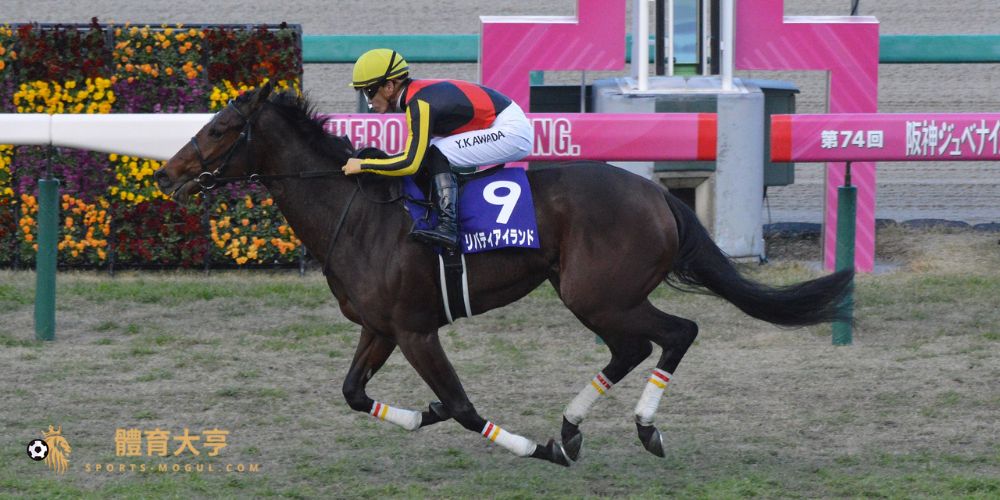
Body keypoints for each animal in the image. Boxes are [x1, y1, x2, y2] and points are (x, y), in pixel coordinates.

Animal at [153, 82, 853, 466]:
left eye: (219, 128)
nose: (165, 173)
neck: (357, 213)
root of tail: (659, 195)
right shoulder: (379, 327)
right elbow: (354, 393)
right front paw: (424, 414)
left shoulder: (416, 330)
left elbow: (466, 409)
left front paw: (533, 448)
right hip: (594, 295)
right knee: (632, 348)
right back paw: (571, 427)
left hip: (600, 293)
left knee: (676, 333)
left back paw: (638, 429)